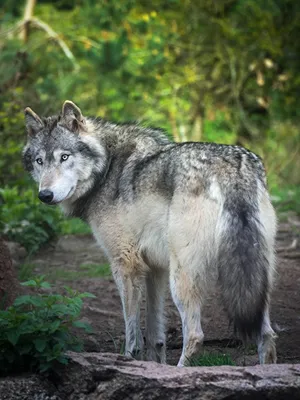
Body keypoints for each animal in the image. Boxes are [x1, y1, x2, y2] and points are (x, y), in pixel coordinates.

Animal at [22, 100, 278, 366]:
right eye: (39, 161)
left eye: (64, 157)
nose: (45, 195)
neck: (106, 168)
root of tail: (233, 168)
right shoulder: (156, 269)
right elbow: (156, 334)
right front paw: (155, 364)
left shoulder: (125, 264)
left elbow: (132, 333)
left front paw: (129, 361)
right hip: (255, 278)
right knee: (266, 333)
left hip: (182, 277)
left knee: (195, 335)